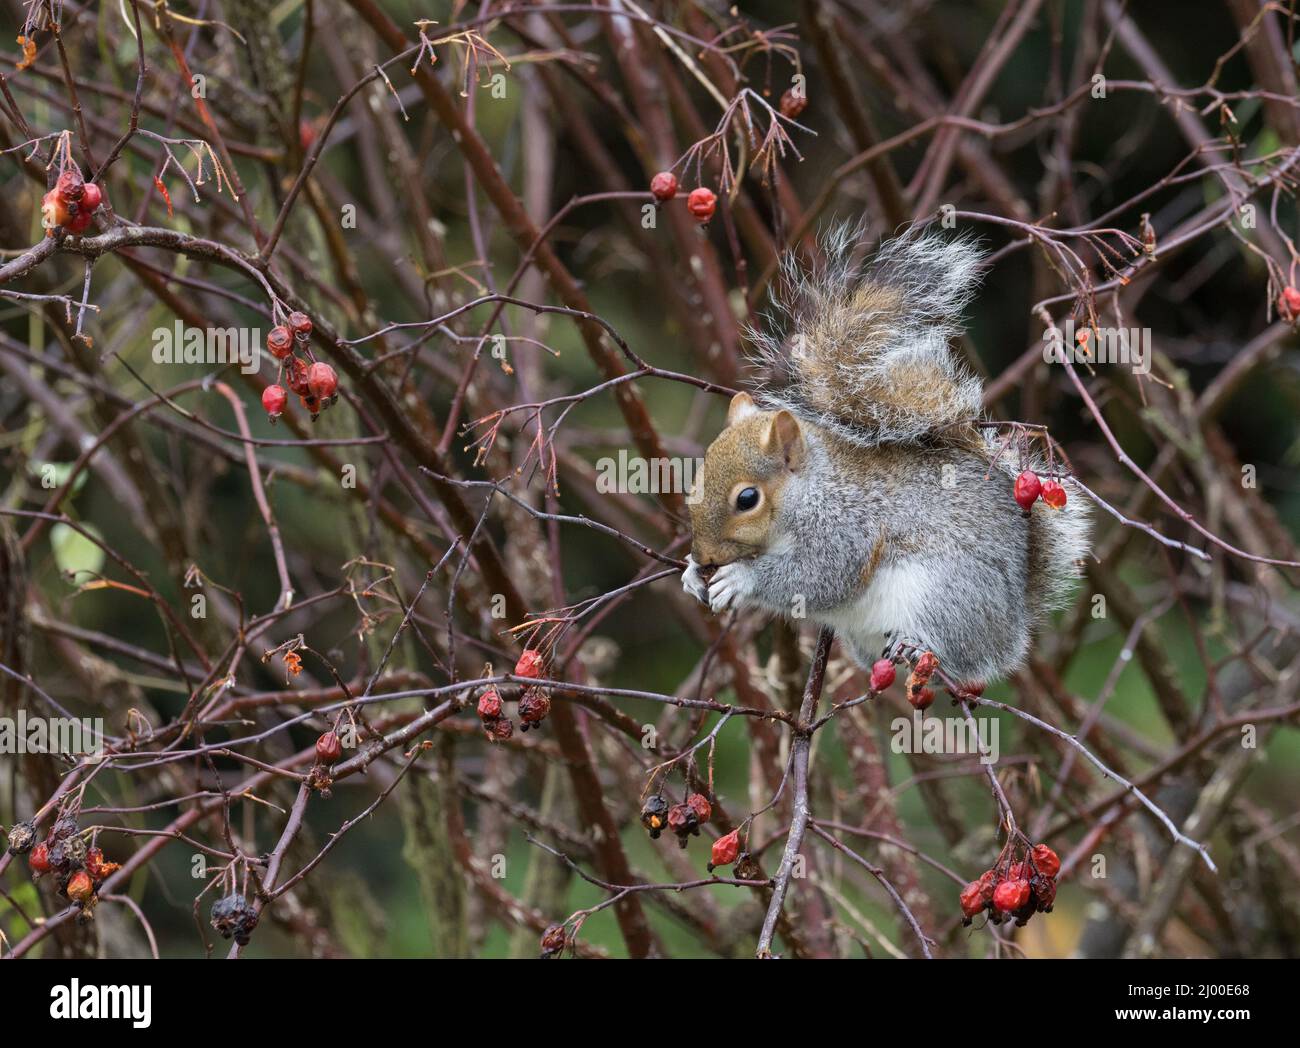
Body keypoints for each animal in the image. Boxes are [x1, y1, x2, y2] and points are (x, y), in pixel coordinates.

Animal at [681, 226, 1091, 686]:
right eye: (693, 485)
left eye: (747, 499)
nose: (704, 556)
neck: (811, 487)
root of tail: (1012, 628)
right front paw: (691, 575)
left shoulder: (847, 526)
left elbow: (817, 576)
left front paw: (741, 579)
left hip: (947, 594)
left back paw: (919, 644)